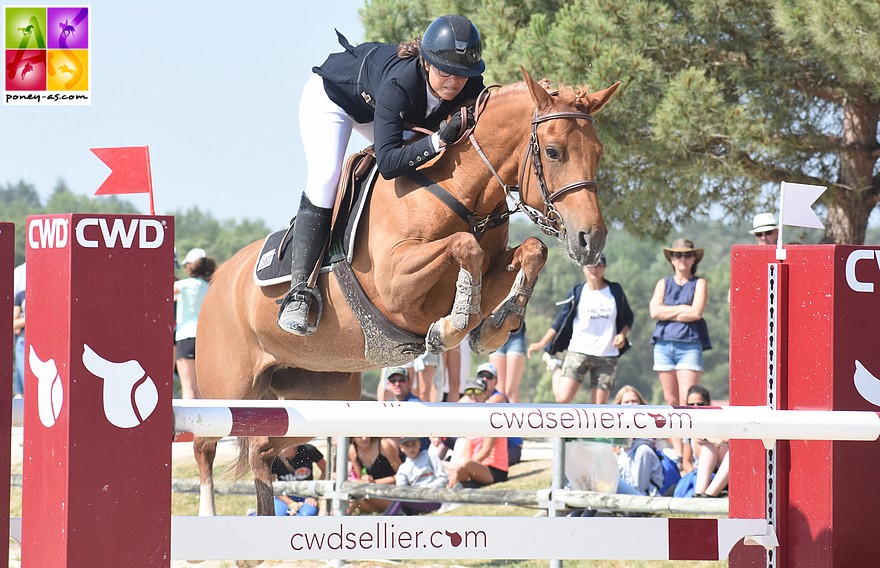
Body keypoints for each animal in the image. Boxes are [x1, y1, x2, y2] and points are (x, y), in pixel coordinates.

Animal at [192, 67, 620, 520]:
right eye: (553, 152)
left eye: (598, 152)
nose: (590, 240)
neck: (463, 190)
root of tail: (219, 280)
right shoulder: (395, 284)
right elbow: (464, 246)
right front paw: (452, 326)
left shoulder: (488, 267)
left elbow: (531, 250)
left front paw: (494, 328)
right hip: (227, 389)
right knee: (204, 445)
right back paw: (209, 515)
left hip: (317, 396)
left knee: (261, 449)